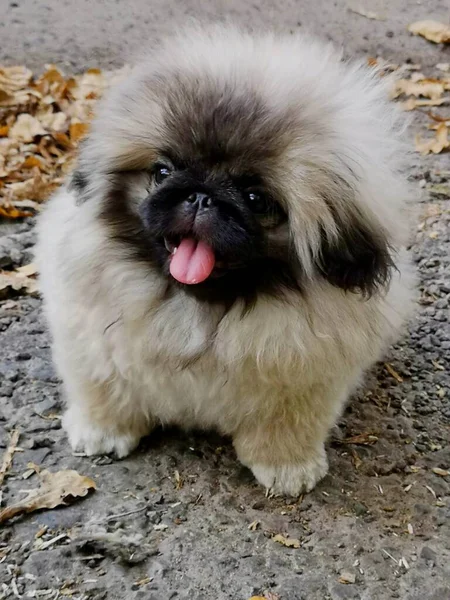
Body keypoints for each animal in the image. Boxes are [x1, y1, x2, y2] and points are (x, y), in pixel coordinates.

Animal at [37, 23, 416, 494]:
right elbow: (105, 391)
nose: (202, 196)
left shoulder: (304, 382)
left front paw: (287, 466)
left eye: (256, 199)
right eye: (162, 171)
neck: (200, 309)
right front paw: (103, 431)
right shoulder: (93, 345)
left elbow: (287, 424)